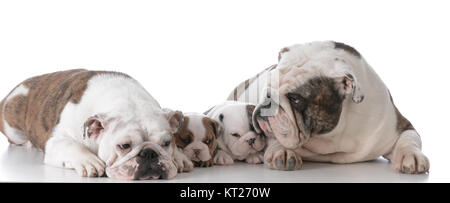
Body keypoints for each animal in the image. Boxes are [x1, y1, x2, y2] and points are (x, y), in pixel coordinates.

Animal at [0, 69, 192, 179]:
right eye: (124, 146)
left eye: (166, 143)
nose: (149, 153)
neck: (128, 100)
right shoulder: (57, 141)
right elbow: (71, 146)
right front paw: (89, 161)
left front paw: (179, 157)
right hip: (13, 128)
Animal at [230, 40, 430, 174]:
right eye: (267, 87)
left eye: (296, 99)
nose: (267, 101)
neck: (330, 135)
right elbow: (274, 139)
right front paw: (283, 151)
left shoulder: (398, 125)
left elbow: (409, 139)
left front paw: (411, 156)